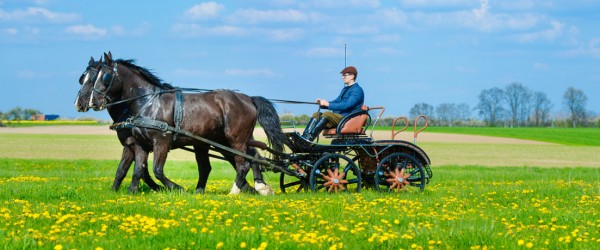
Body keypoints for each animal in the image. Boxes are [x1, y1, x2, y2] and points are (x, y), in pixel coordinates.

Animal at [75, 56, 164, 192]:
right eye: (82, 79)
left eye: (92, 79)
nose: (78, 103)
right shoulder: (132, 145)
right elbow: (130, 169)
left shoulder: (135, 143)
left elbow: (140, 169)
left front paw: (159, 187)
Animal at [88, 51, 286, 194]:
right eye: (91, 78)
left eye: (105, 77)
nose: (93, 102)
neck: (149, 103)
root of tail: (249, 98)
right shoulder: (141, 144)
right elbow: (139, 169)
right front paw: (131, 192)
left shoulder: (162, 141)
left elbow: (157, 170)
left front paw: (178, 188)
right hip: (228, 140)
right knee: (252, 158)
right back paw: (259, 187)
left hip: (235, 139)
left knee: (243, 164)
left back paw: (235, 191)